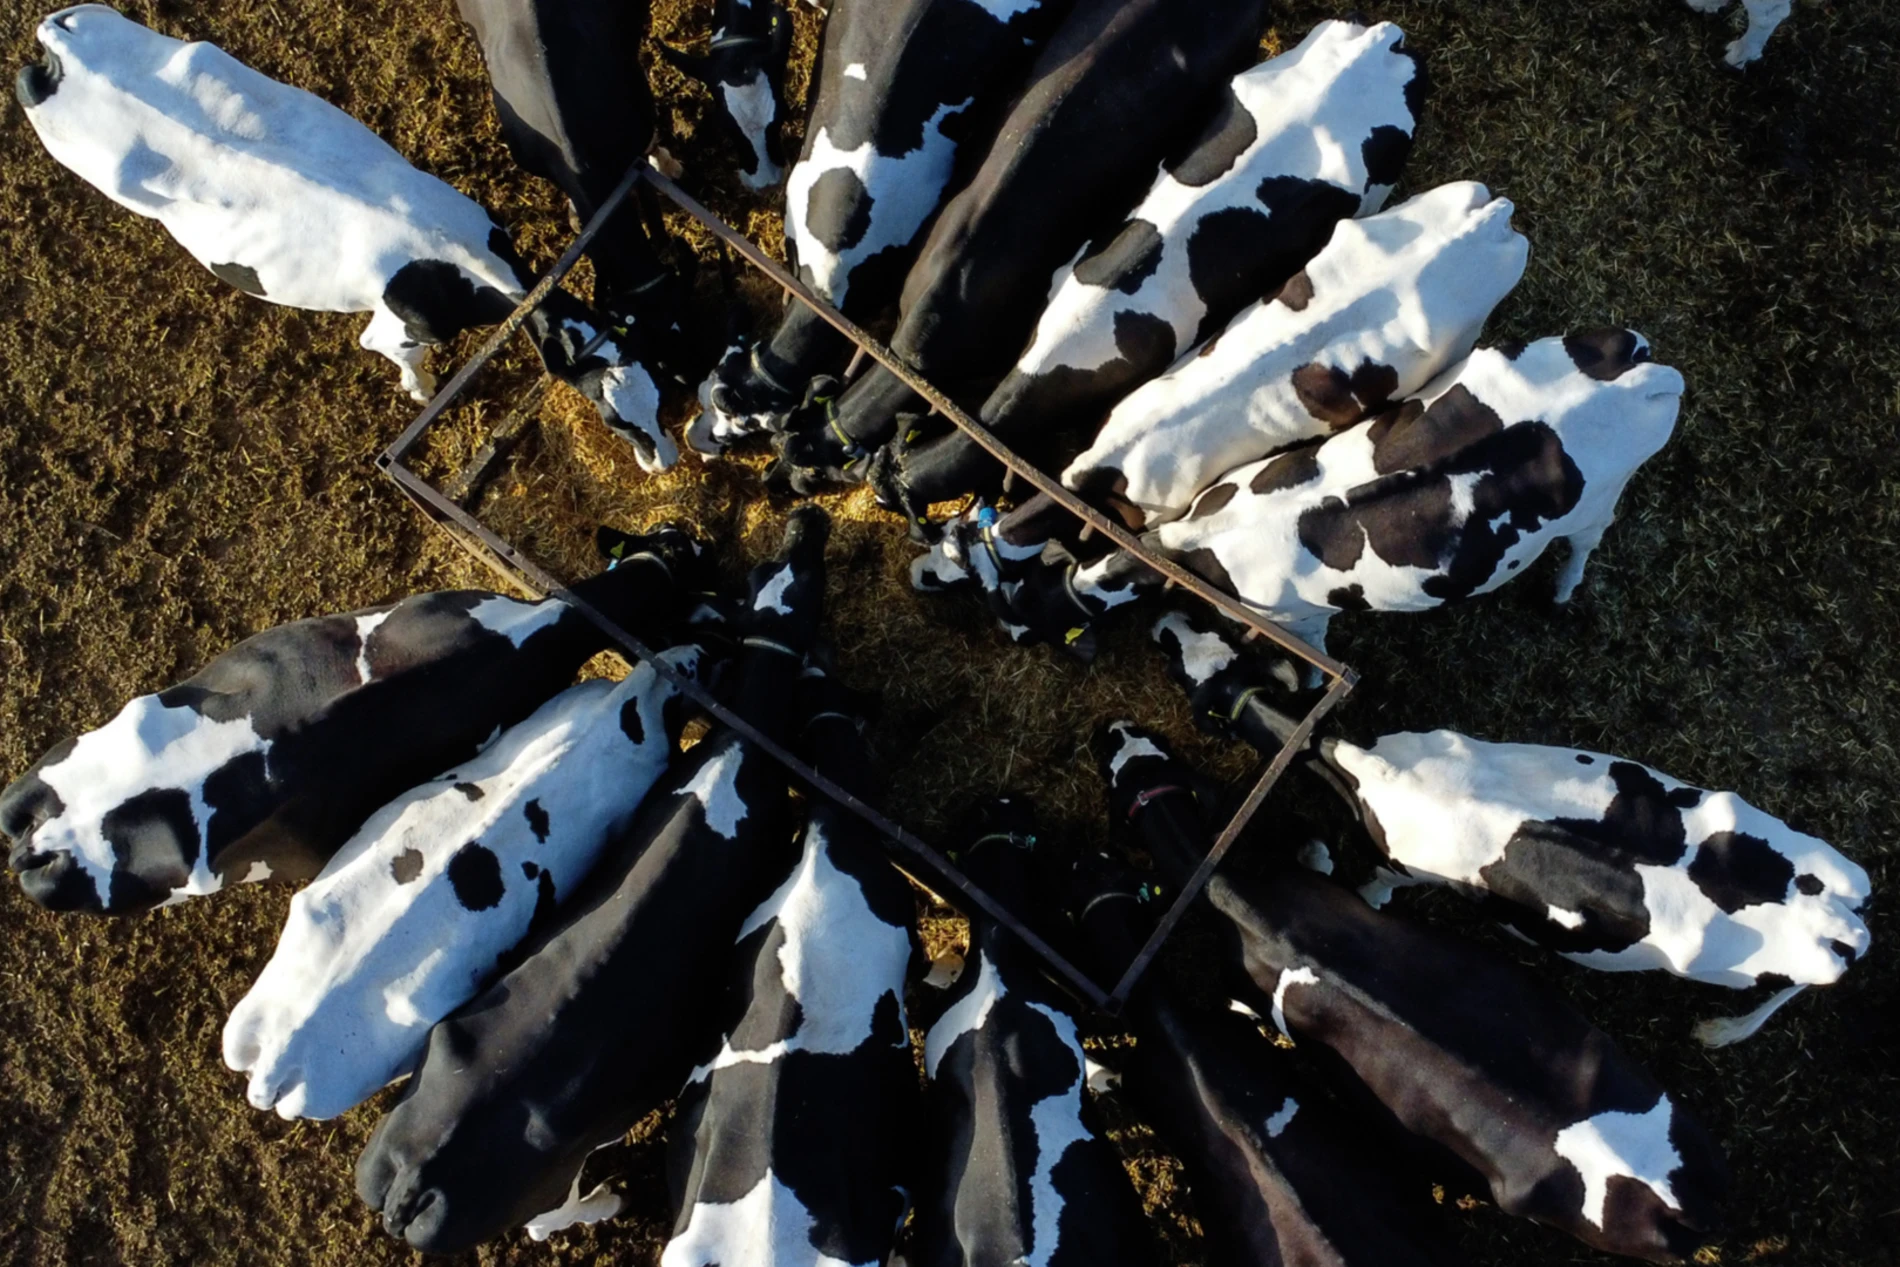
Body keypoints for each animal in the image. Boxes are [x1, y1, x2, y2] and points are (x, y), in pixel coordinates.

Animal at [16, 6, 678, 470]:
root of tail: (59, 42)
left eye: (662, 390)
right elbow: (400, 357)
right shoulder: (391, 327)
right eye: (616, 423)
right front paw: (420, 390)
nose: (666, 461)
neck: (459, 265)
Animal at [356, 507, 829, 1253]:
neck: (741, 753)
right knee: (549, 1217)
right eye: (799, 574)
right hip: (548, 1179)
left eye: (777, 568)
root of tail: (414, 1181)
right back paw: (608, 1200)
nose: (809, 519)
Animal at [1005, 331, 1683, 663]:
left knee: (1585, 544)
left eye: (1023, 621)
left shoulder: (1300, 618)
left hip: (1599, 499)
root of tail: (1641, 367)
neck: (1193, 543)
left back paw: (1561, 594)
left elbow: (1313, 650)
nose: (1008, 641)